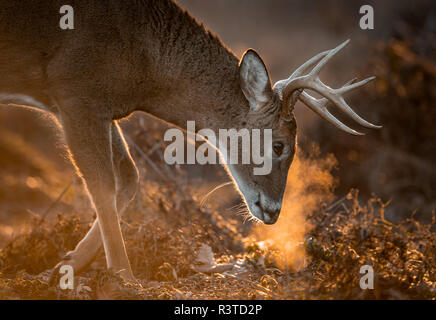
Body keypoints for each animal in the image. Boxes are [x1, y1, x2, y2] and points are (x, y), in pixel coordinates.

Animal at [0, 0, 380, 282]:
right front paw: (124, 276)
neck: (143, 60)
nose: (273, 211)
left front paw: (63, 265)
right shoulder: (75, 94)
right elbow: (103, 186)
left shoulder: (101, 110)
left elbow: (129, 179)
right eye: (279, 145)